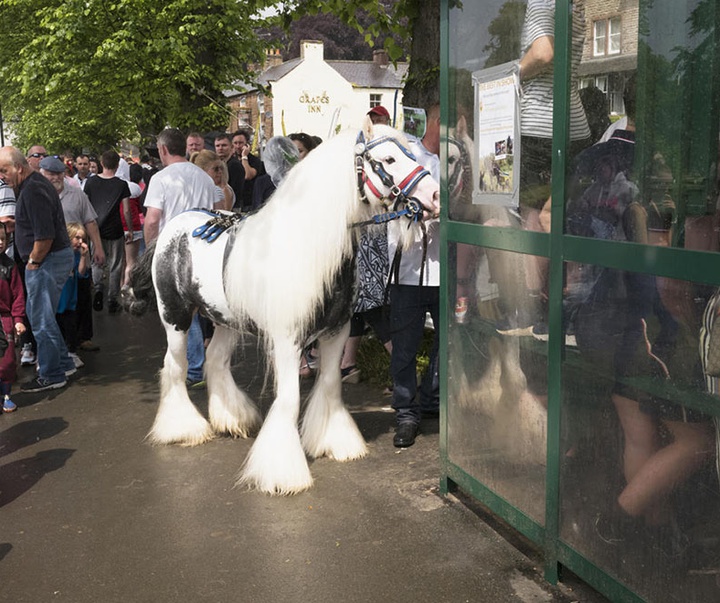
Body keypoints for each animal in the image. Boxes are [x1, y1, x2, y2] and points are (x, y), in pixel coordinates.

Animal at [126, 122, 438, 496]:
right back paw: (183, 430)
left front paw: (335, 442)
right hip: (176, 318)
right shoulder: (288, 341)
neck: (309, 247)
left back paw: (233, 420)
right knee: (174, 367)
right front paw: (282, 472)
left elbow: (330, 383)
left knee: (215, 361)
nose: (435, 196)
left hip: (226, 320)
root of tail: (172, 228)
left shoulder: (337, 332)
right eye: (389, 159)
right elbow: (289, 399)